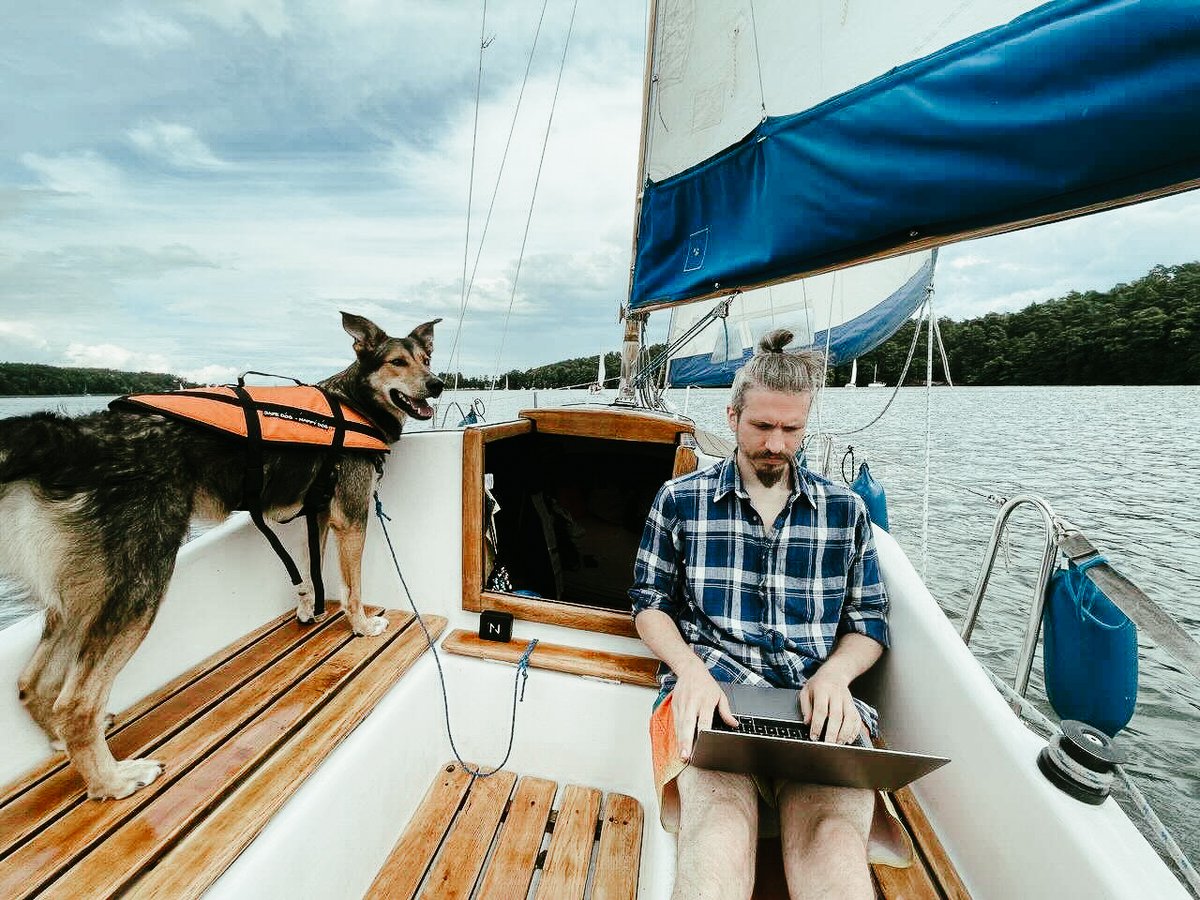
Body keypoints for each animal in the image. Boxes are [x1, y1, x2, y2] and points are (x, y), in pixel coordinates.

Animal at [0, 312, 444, 801]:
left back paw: (65, 745)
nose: (438, 384)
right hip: (139, 583)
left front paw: (307, 608)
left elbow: (312, 571)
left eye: (426, 359)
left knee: (33, 684)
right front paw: (363, 626)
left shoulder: (320, 514)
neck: (354, 401)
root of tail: (78, 437)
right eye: (397, 362)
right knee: (75, 703)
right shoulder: (351, 515)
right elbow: (353, 587)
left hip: (81, 595)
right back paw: (113, 781)